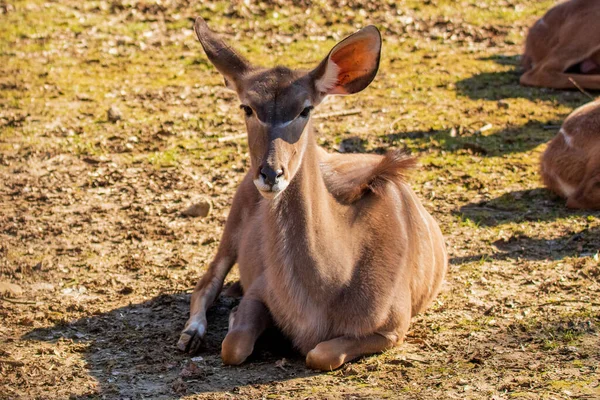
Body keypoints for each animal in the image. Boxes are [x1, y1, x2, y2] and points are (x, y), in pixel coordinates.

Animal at [176, 17, 448, 370]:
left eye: (305, 109)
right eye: (247, 107)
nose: (270, 174)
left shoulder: (393, 328)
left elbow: (320, 355)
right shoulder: (259, 291)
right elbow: (233, 346)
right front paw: (233, 319)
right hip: (231, 229)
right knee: (206, 282)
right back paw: (190, 335)